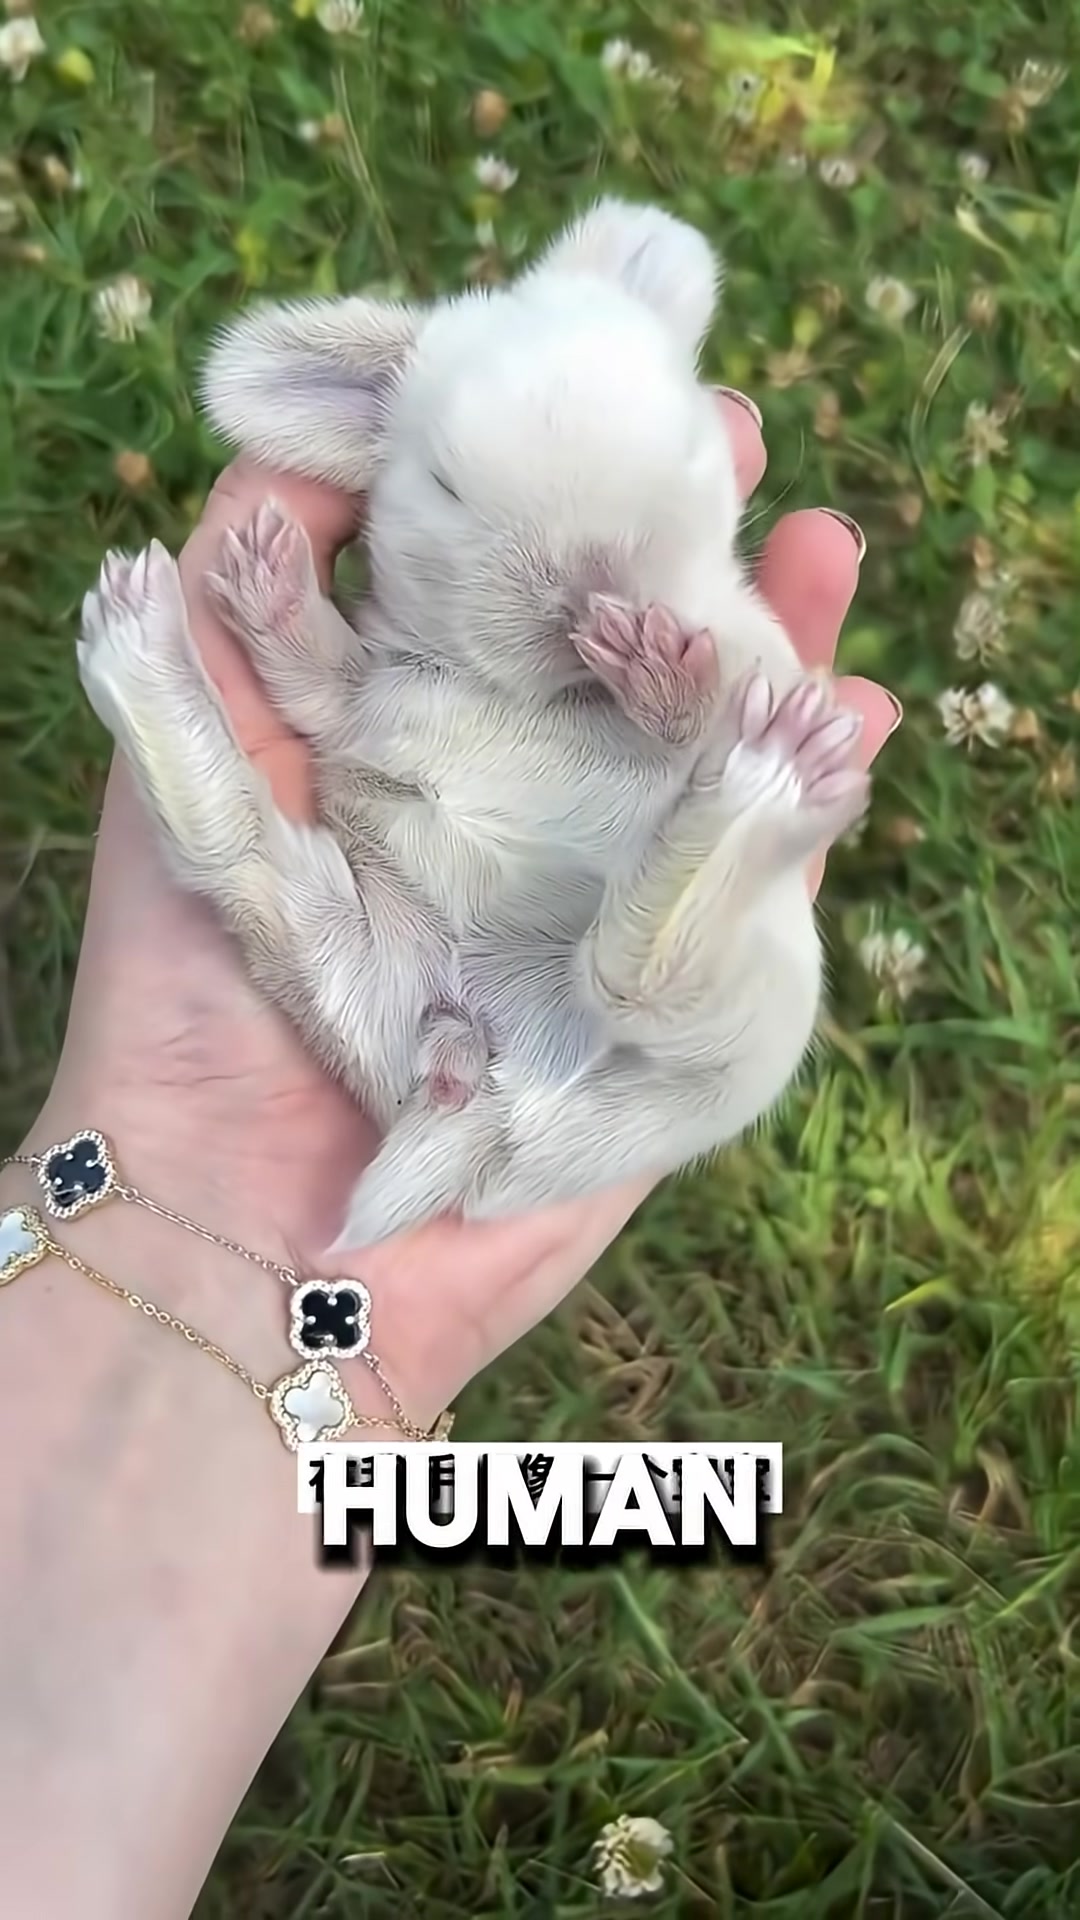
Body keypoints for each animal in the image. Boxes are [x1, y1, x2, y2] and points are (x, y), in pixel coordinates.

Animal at [76, 197, 869, 1251]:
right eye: (446, 486)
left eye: (689, 453)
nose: (587, 602)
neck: (551, 697)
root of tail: (483, 1091)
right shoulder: (377, 689)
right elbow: (322, 681)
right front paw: (267, 582)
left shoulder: (755, 661)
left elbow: (704, 703)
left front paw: (656, 663)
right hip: (348, 955)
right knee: (233, 854)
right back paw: (138, 638)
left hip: (739, 1029)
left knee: (637, 982)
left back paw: (769, 779)